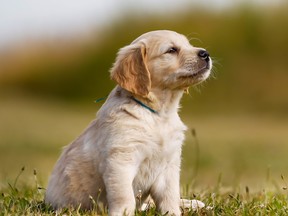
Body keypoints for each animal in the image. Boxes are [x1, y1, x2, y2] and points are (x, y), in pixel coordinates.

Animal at [45, 29, 212, 215]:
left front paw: (174, 212)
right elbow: (125, 197)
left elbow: (170, 197)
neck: (159, 115)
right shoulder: (121, 161)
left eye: (189, 45)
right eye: (171, 50)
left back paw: (196, 204)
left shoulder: (169, 164)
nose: (205, 53)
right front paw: (122, 212)